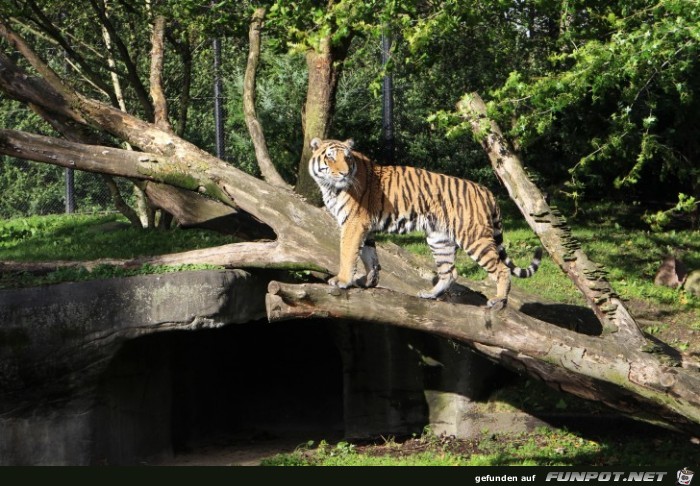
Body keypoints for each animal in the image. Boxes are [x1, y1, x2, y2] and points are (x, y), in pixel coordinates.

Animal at [306, 137, 540, 310]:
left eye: (347, 158)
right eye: (330, 157)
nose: (344, 173)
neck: (329, 186)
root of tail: (486, 191)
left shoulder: (354, 223)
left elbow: (348, 253)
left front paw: (342, 280)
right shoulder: (364, 228)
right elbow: (368, 256)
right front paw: (369, 281)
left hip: (474, 238)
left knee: (501, 268)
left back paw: (499, 301)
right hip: (440, 239)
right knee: (450, 272)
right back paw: (430, 294)